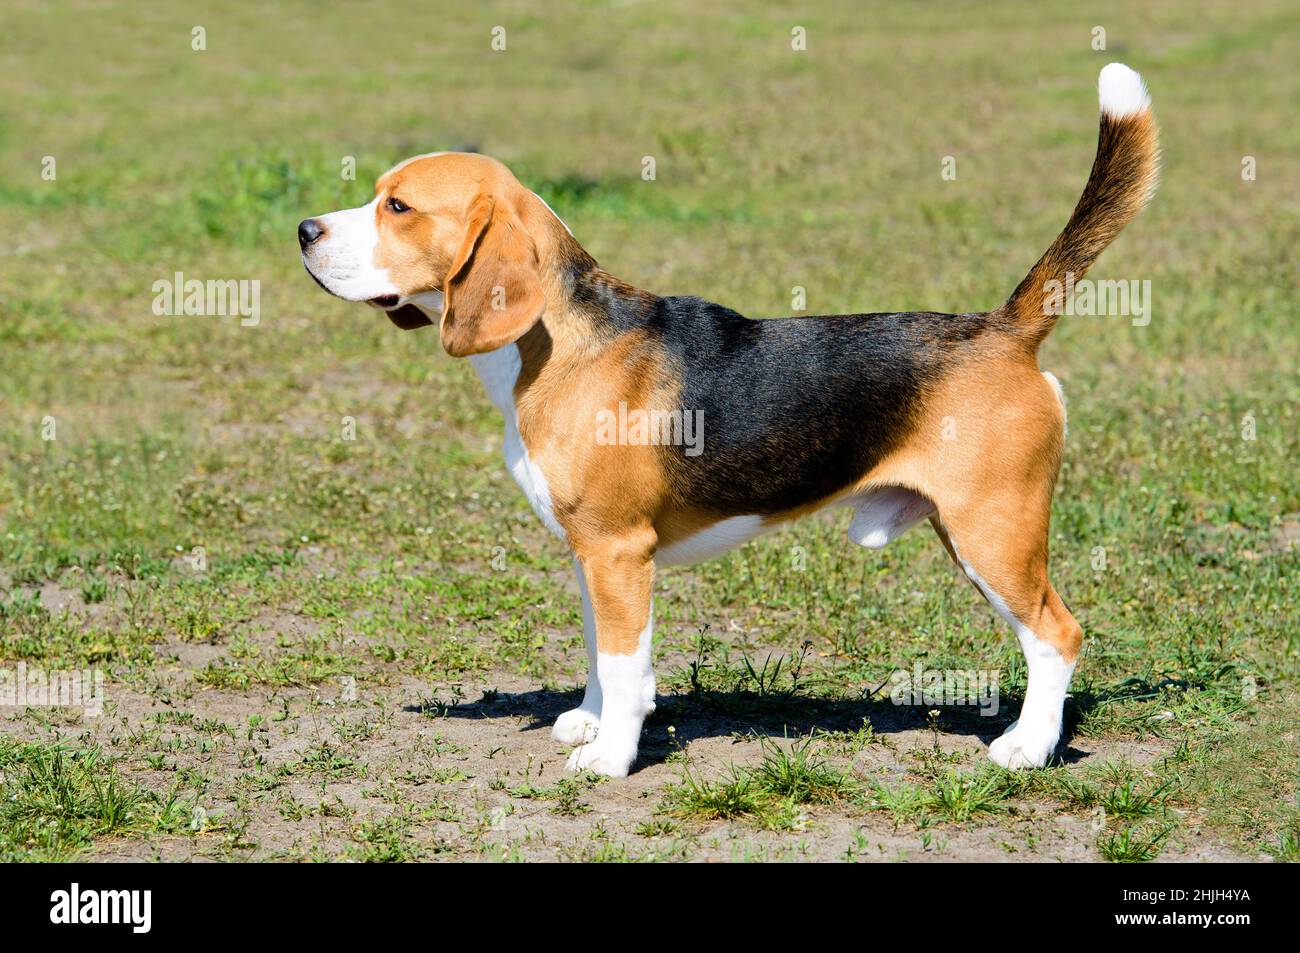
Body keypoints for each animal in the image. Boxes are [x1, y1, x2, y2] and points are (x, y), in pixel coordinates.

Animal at [301, 65, 1159, 774]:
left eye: (398, 206)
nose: (304, 230)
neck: (559, 342)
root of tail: (1004, 327)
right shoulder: (590, 553)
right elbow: (599, 649)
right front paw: (589, 719)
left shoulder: (620, 549)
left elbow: (626, 664)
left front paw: (610, 756)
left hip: (993, 529)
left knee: (1056, 634)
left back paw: (1027, 747)